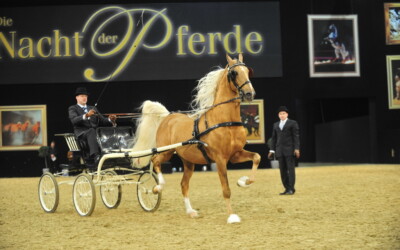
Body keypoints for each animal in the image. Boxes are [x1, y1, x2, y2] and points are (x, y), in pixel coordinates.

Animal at [133, 54, 260, 223]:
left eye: (247, 71)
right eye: (234, 73)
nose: (249, 94)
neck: (225, 121)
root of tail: (168, 117)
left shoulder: (235, 155)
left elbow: (257, 157)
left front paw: (243, 181)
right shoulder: (220, 159)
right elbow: (226, 189)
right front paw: (232, 216)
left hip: (188, 161)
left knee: (183, 184)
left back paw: (190, 211)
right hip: (166, 152)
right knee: (155, 161)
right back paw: (157, 187)